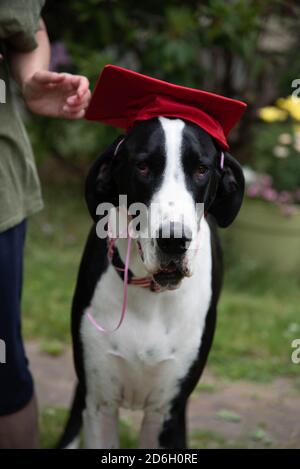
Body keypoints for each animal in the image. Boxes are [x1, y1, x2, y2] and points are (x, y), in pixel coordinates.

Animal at [58, 115, 244, 448]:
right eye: (143, 166)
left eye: (201, 169)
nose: (174, 240)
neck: (152, 294)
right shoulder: (100, 403)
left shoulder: (167, 412)